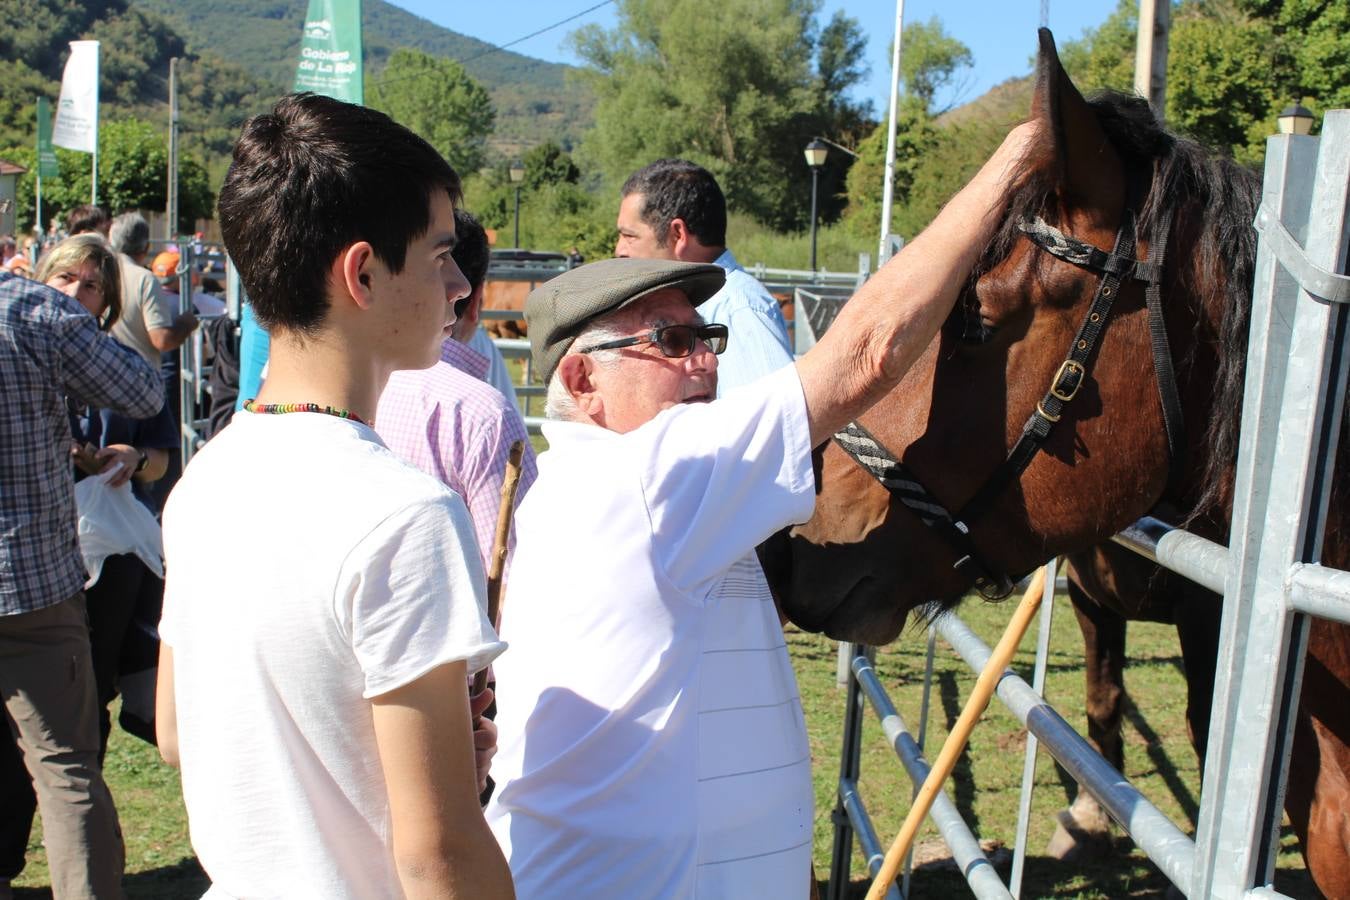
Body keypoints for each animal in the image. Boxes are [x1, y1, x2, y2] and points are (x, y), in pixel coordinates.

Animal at [761, 31, 1350, 895]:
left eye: (974, 318)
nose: (791, 546)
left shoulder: (1208, 634)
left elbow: (1202, 732)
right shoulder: (1093, 601)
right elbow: (1103, 700)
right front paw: (1088, 819)